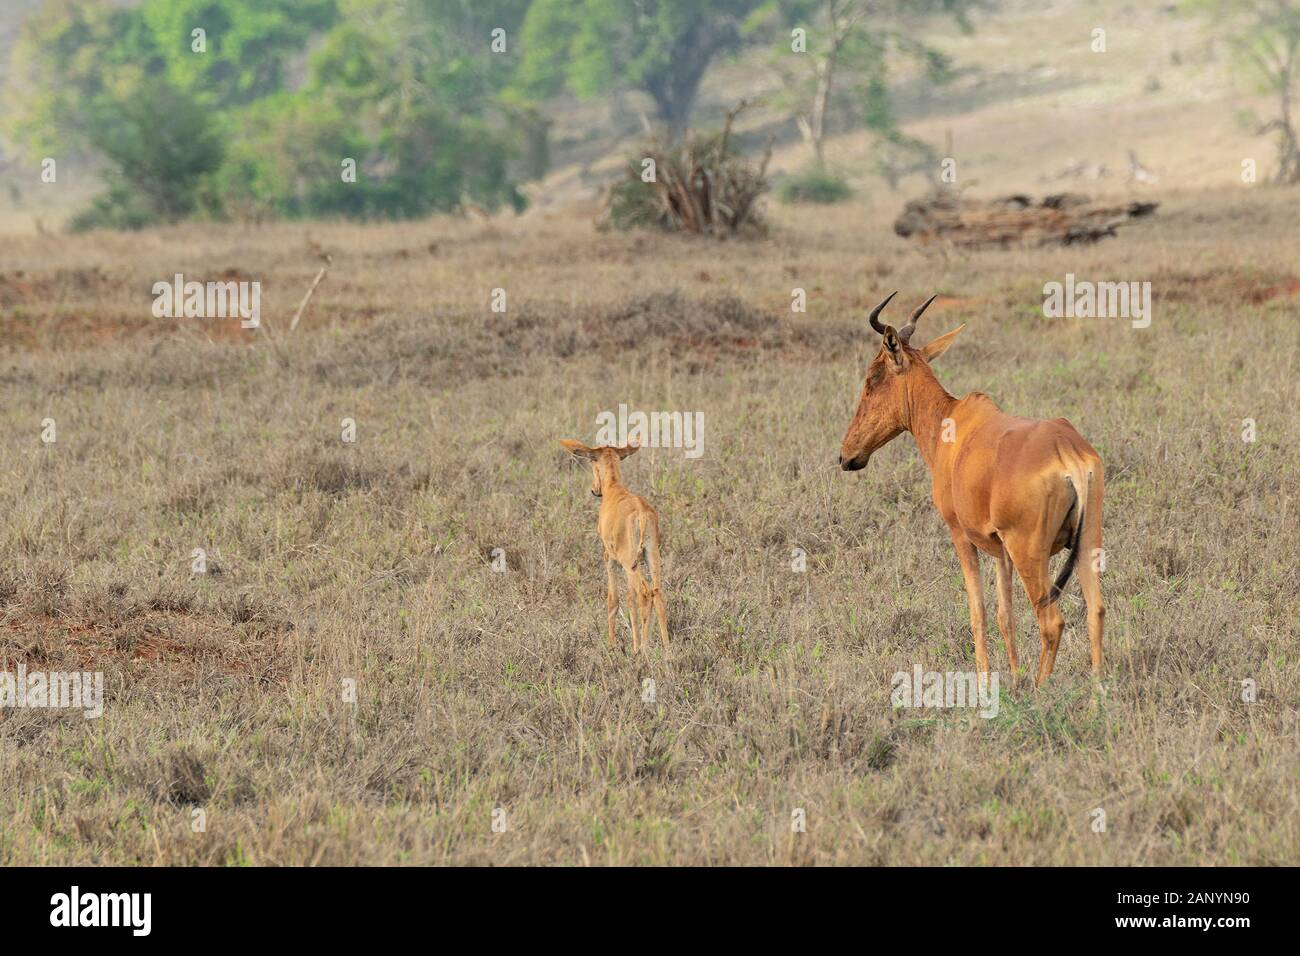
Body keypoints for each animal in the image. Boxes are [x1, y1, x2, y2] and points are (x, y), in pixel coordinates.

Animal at [556, 442, 670, 655]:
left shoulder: (609, 558)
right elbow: (629, 598)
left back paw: (644, 650)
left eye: (592, 461)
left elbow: (614, 599)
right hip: (651, 555)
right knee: (657, 592)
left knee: (645, 593)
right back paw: (667, 651)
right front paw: (633, 644)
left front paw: (613, 645)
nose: (595, 490)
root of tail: (641, 513)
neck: (615, 489)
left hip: (629, 563)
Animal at [837, 293, 1102, 686]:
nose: (846, 456)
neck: (953, 424)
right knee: (1096, 611)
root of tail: (1066, 450)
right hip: (1087, 542)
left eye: (872, 378)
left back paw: (1041, 690)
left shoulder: (961, 535)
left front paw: (986, 681)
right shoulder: (1001, 550)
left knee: (1051, 621)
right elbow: (1005, 616)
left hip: (1030, 552)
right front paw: (1013, 677)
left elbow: (978, 613)